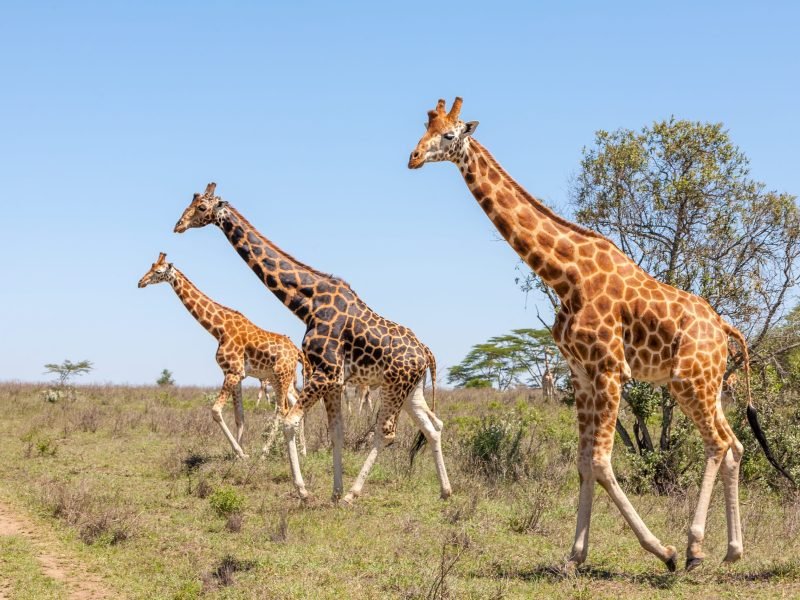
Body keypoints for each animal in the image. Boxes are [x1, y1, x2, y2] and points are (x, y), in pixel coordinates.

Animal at [138, 252, 307, 459]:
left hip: (281, 376)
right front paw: (240, 453)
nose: (141, 282)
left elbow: (216, 411)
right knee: (294, 403)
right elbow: (239, 416)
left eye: (158, 271)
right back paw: (303, 451)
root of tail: (296, 351)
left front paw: (240, 453)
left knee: (282, 410)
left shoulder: (233, 372)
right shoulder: (237, 374)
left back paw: (265, 452)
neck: (219, 329)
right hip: (280, 378)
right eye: (150, 267)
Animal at [174, 184, 451, 503]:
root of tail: (425, 352)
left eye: (202, 208)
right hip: (410, 390)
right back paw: (445, 491)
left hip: (395, 386)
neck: (308, 303)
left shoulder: (326, 373)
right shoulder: (335, 380)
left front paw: (305, 491)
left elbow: (289, 422)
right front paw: (333, 491)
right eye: (191, 203)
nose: (178, 225)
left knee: (387, 432)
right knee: (432, 427)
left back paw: (354, 494)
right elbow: (336, 433)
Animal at [409, 97, 794, 571]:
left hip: (689, 381)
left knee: (718, 443)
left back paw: (693, 547)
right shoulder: (581, 375)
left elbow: (601, 461)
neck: (564, 274)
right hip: (707, 383)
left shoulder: (610, 370)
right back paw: (733, 550)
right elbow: (582, 463)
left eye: (448, 135)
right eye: (424, 128)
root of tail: (723, 326)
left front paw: (661, 551)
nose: (413, 157)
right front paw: (575, 555)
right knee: (735, 445)